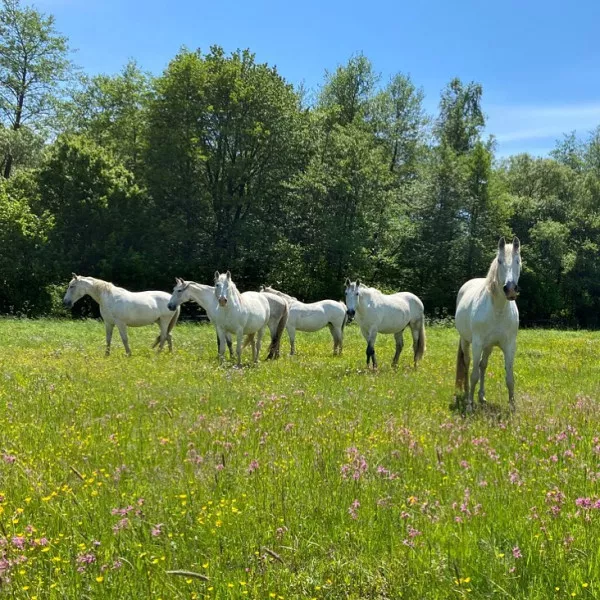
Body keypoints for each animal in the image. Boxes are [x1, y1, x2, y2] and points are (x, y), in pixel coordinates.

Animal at [454, 236, 520, 412]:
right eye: (500, 261)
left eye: (518, 261)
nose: (510, 289)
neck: (498, 310)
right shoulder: (477, 344)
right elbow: (474, 375)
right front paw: (470, 406)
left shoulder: (509, 346)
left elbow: (510, 377)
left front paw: (512, 406)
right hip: (466, 341)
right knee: (469, 363)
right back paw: (467, 394)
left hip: (488, 346)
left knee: (483, 365)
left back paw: (482, 396)